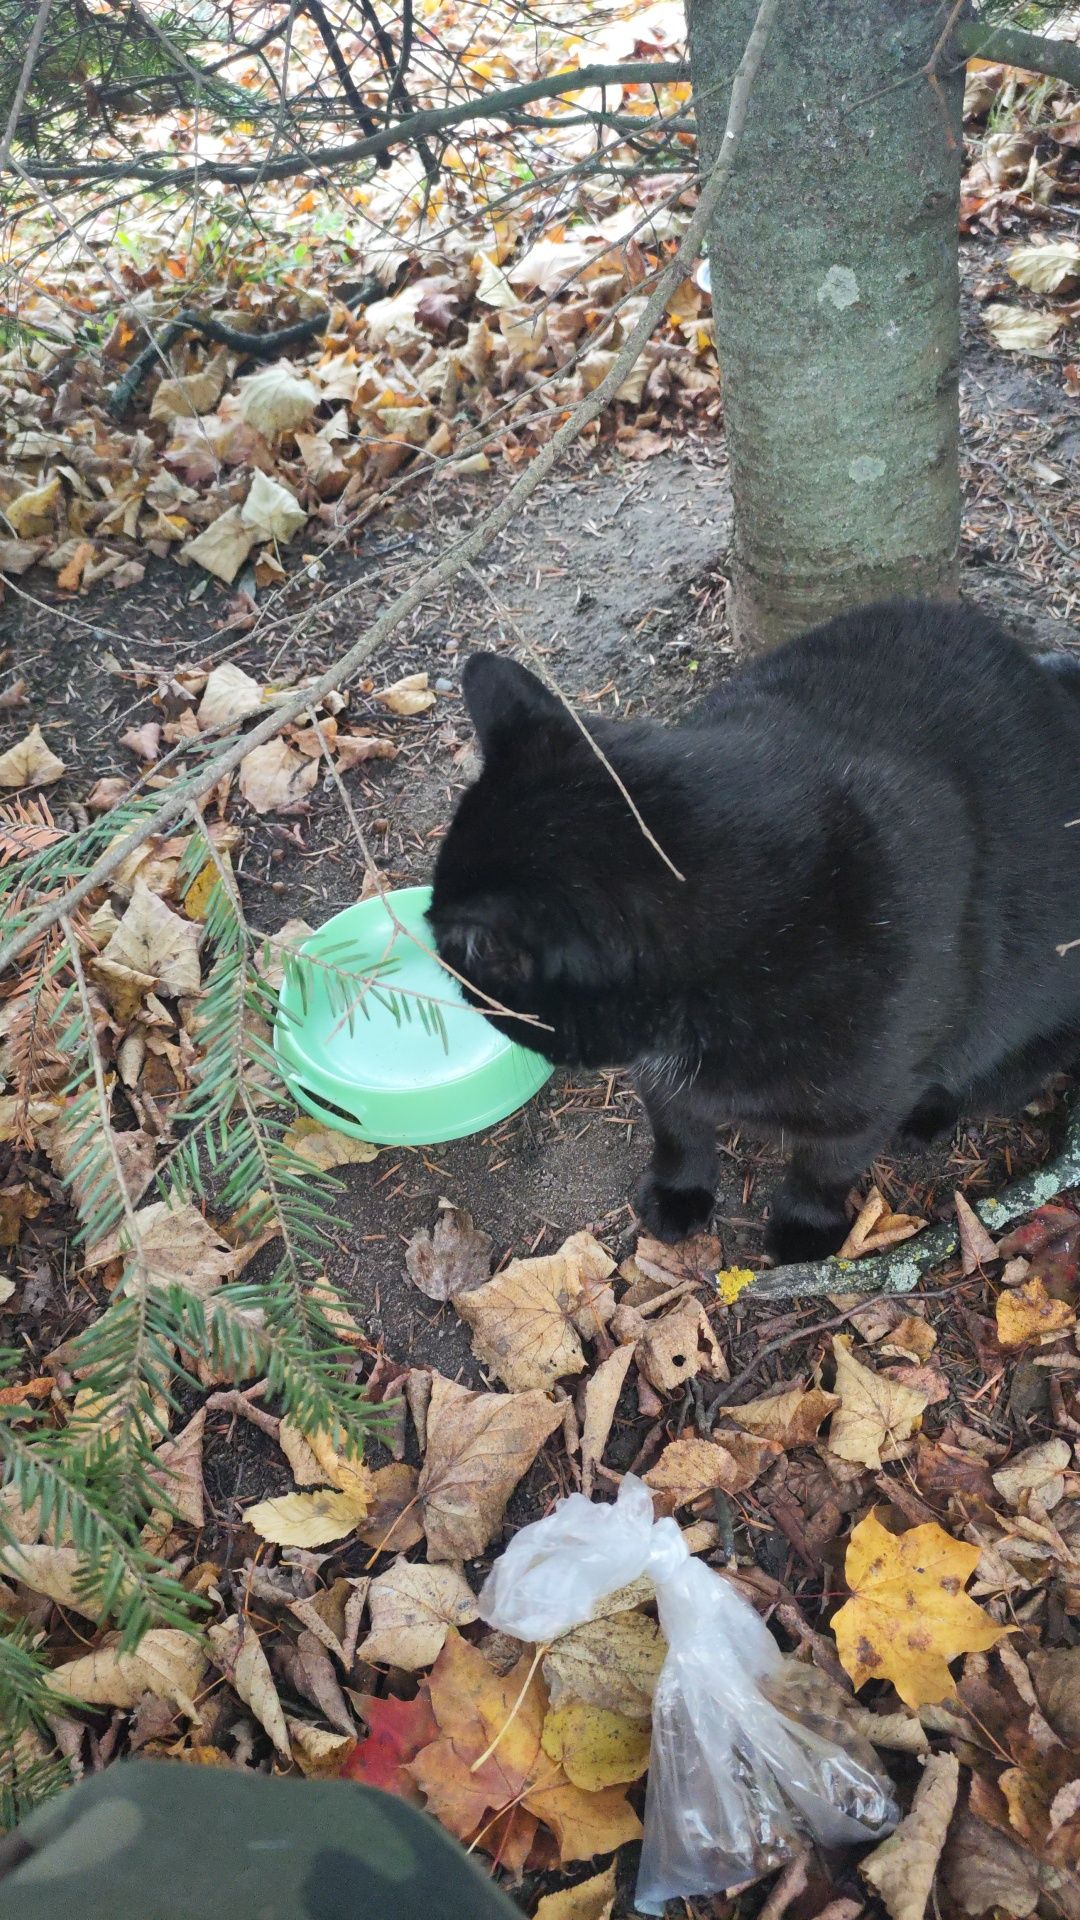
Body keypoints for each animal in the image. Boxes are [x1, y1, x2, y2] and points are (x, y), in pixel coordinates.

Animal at [424, 599, 1076, 1259]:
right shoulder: (662, 1078)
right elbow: (678, 1132)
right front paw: (678, 1193)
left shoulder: (864, 1107)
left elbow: (826, 1169)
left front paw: (804, 1229)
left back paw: (929, 1118)